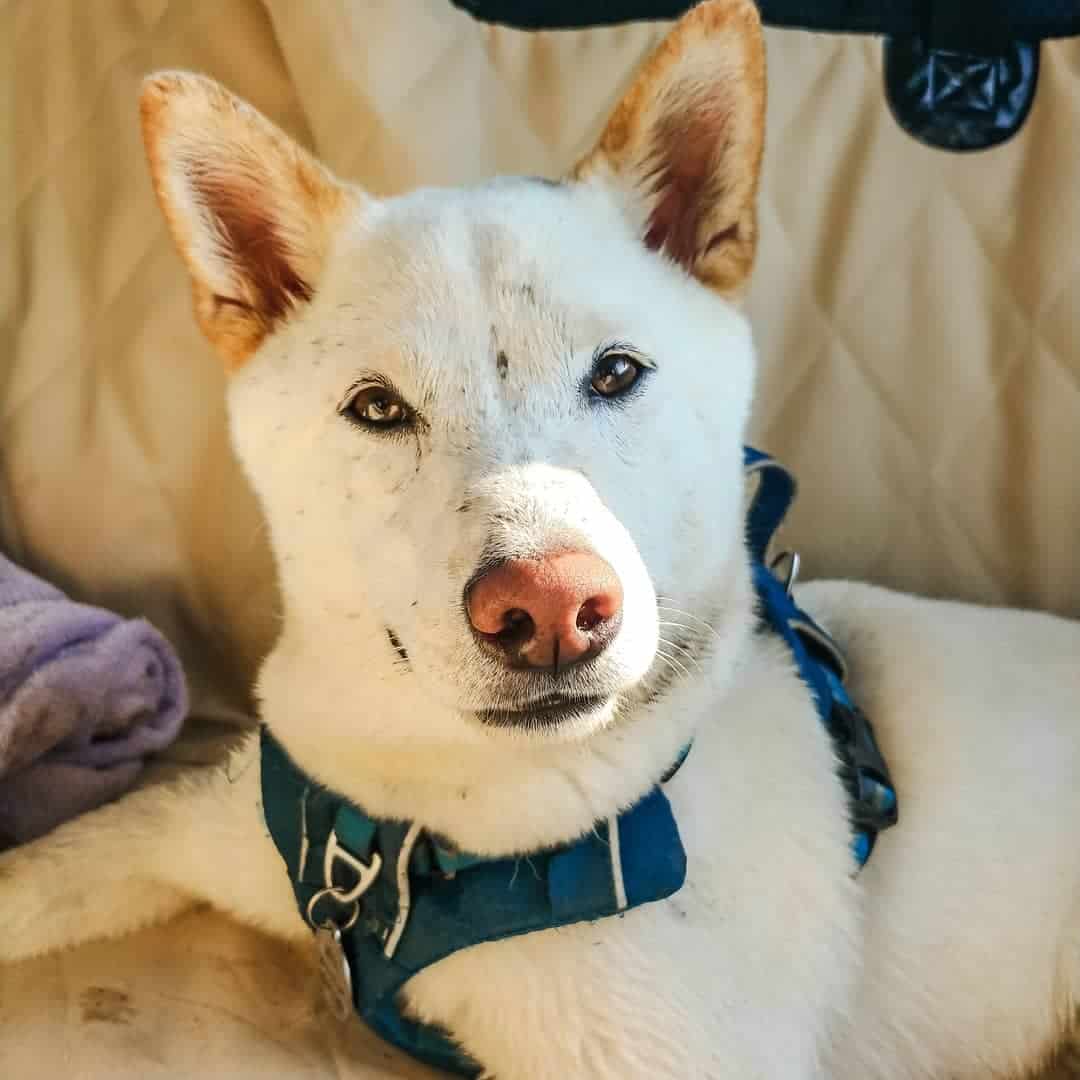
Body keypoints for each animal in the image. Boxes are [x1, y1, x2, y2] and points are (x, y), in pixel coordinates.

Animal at [2, 4, 1080, 1075]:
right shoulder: (185, 831)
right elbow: (45, 869)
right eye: (378, 407)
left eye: (617, 372)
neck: (425, 836)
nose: (553, 606)